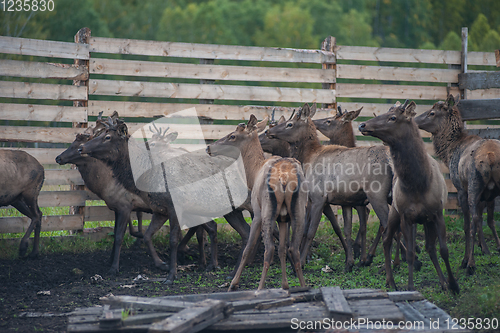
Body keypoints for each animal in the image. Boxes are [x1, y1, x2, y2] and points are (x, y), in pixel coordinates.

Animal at [205, 115, 306, 290]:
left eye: (232, 135)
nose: (209, 147)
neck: (253, 173)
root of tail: (285, 179)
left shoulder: (256, 212)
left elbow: (248, 247)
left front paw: (233, 283)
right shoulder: (283, 219)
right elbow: (282, 249)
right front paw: (285, 285)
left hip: (267, 211)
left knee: (269, 249)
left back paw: (259, 289)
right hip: (299, 211)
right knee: (293, 248)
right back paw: (303, 287)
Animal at [358, 100, 458, 292]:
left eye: (393, 117)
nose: (362, 125)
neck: (418, 184)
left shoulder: (437, 213)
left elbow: (443, 249)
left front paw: (453, 285)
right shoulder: (406, 216)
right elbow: (410, 253)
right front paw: (411, 287)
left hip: (424, 219)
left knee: (429, 247)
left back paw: (442, 282)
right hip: (394, 212)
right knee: (387, 238)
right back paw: (390, 281)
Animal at [414, 94, 500, 274]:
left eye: (432, 113)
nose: (413, 119)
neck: (449, 153)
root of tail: (490, 157)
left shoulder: (461, 188)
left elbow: (468, 224)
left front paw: (468, 257)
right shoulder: (488, 195)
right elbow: (489, 220)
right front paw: (490, 248)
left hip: (473, 185)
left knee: (473, 220)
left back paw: (470, 264)